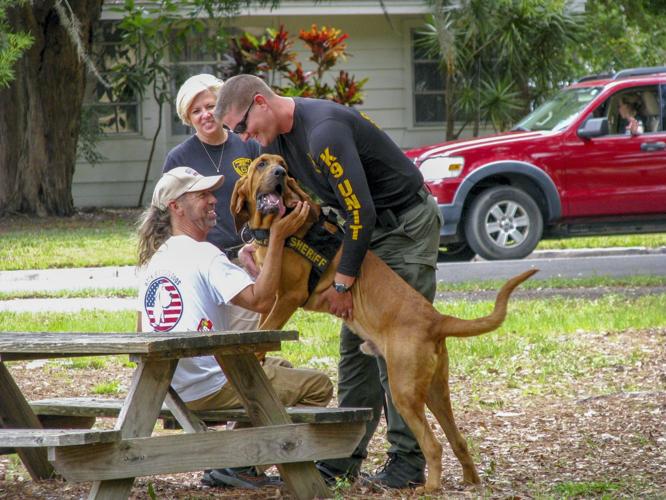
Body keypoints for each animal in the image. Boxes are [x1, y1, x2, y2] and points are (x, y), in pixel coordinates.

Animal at [231, 153, 536, 492]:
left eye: (282, 165)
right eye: (261, 164)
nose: (280, 174)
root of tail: (436, 319)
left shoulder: (288, 296)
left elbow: (265, 328)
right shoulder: (271, 297)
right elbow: (262, 325)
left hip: (404, 391)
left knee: (433, 445)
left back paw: (429, 487)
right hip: (435, 391)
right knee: (457, 440)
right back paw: (470, 481)